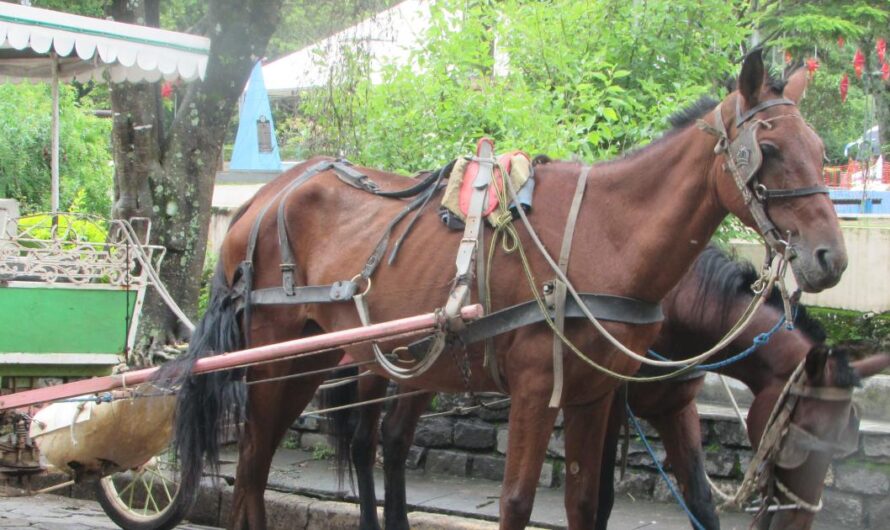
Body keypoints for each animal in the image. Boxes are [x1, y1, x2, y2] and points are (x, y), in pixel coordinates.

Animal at [170, 50, 844, 528]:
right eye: (770, 148)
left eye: (819, 149)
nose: (829, 256)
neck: (605, 235)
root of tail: (261, 200)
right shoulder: (537, 388)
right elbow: (517, 500)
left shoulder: (598, 396)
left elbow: (590, 504)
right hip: (276, 360)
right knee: (254, 469)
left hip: (331, 358)